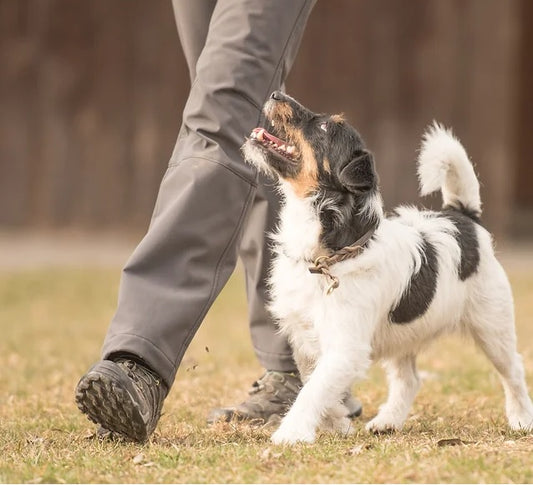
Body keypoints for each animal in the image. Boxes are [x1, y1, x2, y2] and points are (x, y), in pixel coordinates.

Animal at [242, 90, 532, 442]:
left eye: (325, 127)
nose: (275, 93)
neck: (330, 255)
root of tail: (463, 216)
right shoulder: (306, 339)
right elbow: (316, 382)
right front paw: (337, 422)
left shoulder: (345, 347)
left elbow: (313, 390)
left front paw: (292, 433)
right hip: (402, 334)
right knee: (409, 379)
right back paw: (388, 421)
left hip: (493, 326)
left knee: (513, 369)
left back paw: (521, 418)